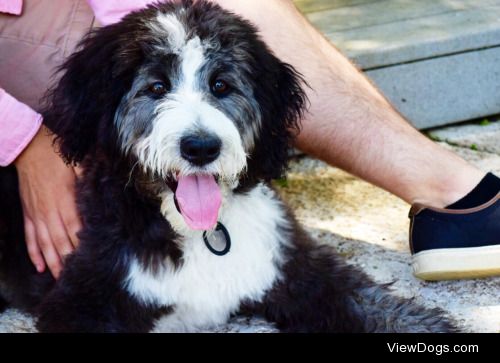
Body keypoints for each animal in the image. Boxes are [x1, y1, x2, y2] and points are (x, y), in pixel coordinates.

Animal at [0, 0, 454, 332]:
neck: (199, 233)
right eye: (156, 87)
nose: (201, 147)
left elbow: (378, 307)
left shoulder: (296, 266)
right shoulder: (85, 300)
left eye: (221, 85)